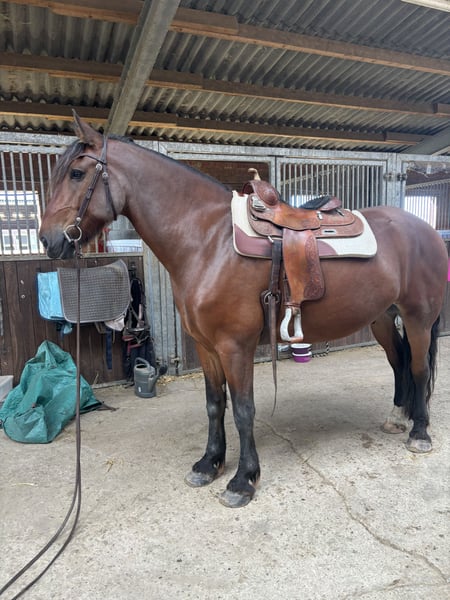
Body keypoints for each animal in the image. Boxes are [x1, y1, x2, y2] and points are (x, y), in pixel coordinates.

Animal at [39, 113, 448, 508]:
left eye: (76, 174)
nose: (48, 240)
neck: (208, 241)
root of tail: (425, 229)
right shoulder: (206, 347)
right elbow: (214, 404)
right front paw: (209, 464)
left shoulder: (235, 346)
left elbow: (243, 409)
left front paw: (243, 480)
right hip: (383, 318)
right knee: (399, 363)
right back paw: (398, 417)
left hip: (418, 318)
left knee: (419, 367)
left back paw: (420, 432)